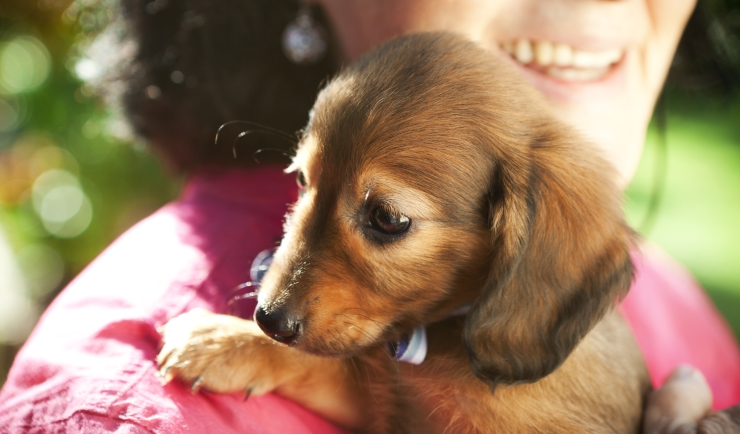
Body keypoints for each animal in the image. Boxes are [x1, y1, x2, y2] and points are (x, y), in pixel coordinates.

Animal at [156, 33, 648, 434]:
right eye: (301, 180)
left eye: (388, 218)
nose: (268, 319)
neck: (441, 331)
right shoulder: (386, 401)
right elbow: (331, 365)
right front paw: (228, 341)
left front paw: (229, 338)